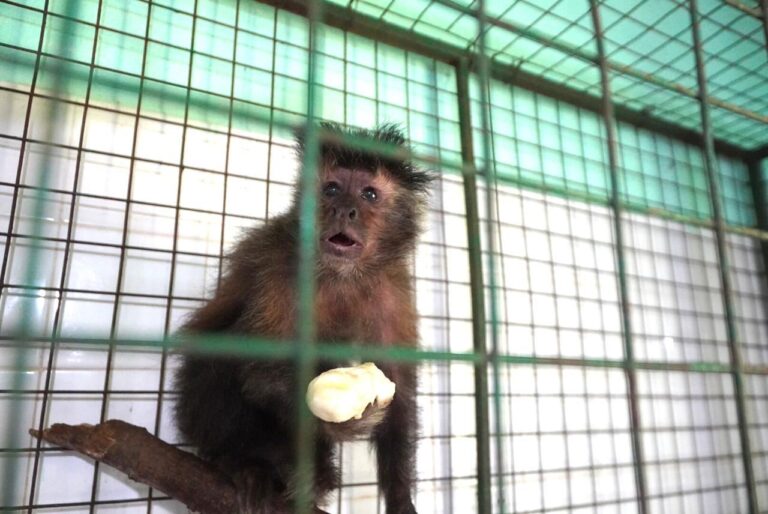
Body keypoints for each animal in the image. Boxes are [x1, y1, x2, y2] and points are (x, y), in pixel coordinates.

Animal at [176, 122, 436, 510]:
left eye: (369, 195)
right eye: (332, 189)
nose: (344, 210)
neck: (340, 274)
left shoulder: (393, 286)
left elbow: (399, 386)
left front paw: (401, 498)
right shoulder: (282, 266)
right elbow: (260, 369)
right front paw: (336, 424)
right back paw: (244, 461)